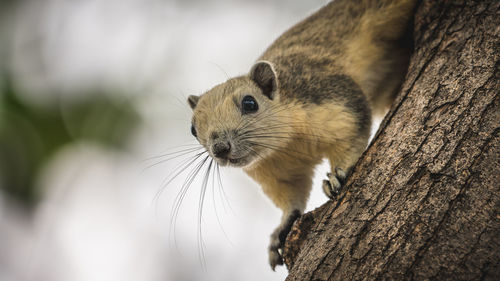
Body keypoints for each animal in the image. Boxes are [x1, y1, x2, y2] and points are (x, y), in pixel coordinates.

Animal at [186, 0, 416, 272]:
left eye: (250, 103)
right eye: (193, 129)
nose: (220, 148)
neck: (284, 144)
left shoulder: (335, 102)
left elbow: (351, 137)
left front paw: (339, 175)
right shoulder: (277, 172)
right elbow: (292, 195)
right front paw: (282, 228)